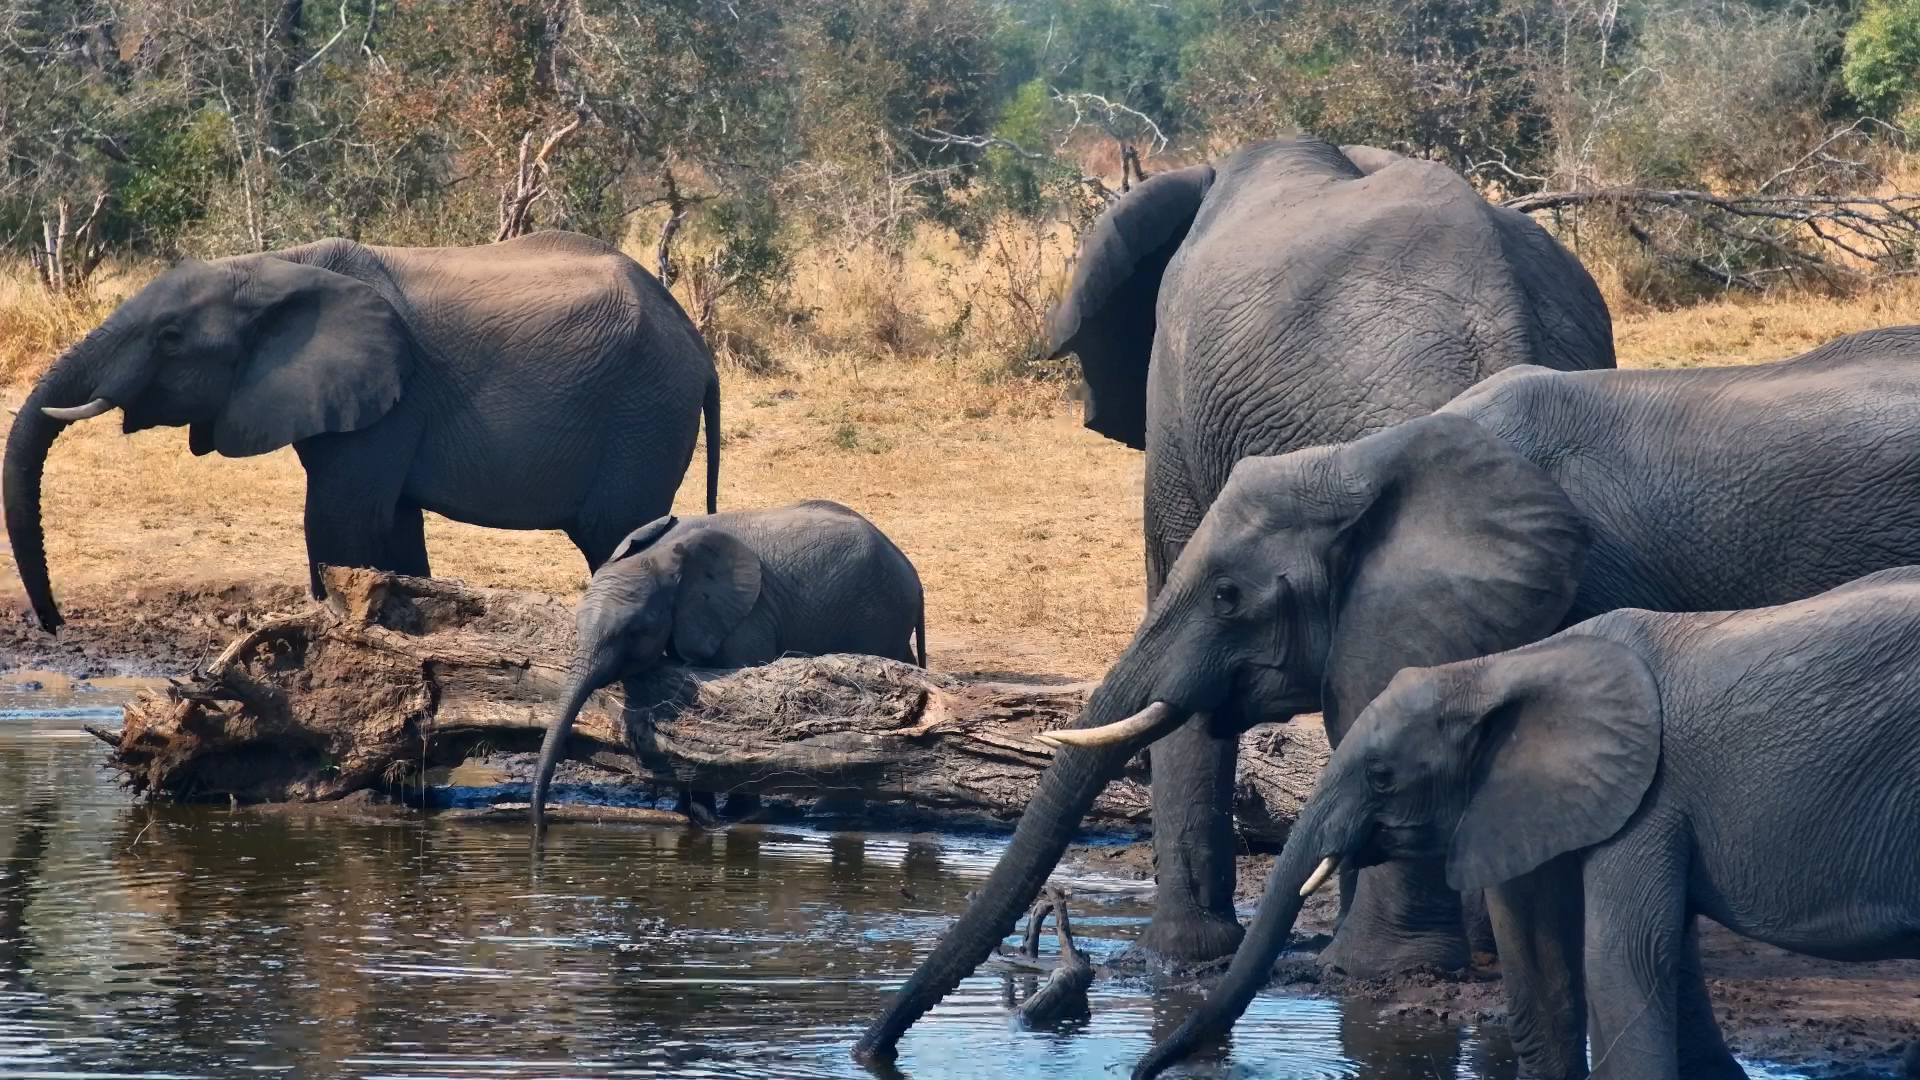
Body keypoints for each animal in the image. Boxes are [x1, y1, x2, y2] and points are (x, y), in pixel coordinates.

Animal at [5, 230, 719, 632]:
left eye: (170, 338)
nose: (54, 626)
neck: (273, 266)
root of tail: (697, 343)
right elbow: (393, 528)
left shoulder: (392, 397)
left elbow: (342, 520)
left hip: (645, 410)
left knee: (615, 534)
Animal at [530, 500, 925, 830]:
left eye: (636, 631)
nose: (541, 824)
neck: (662, 557)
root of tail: (909, 567)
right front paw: (694, 814)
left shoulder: (749, 616)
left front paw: (739, 816)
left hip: (876, 615)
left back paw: (832, 815)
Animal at [1136, 567, 1920, 1080]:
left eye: (1383, 777)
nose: (1141, 1070)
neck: (1501, 668)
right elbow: (1556, 971)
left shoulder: (1647, 800)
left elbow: (1624, 965)